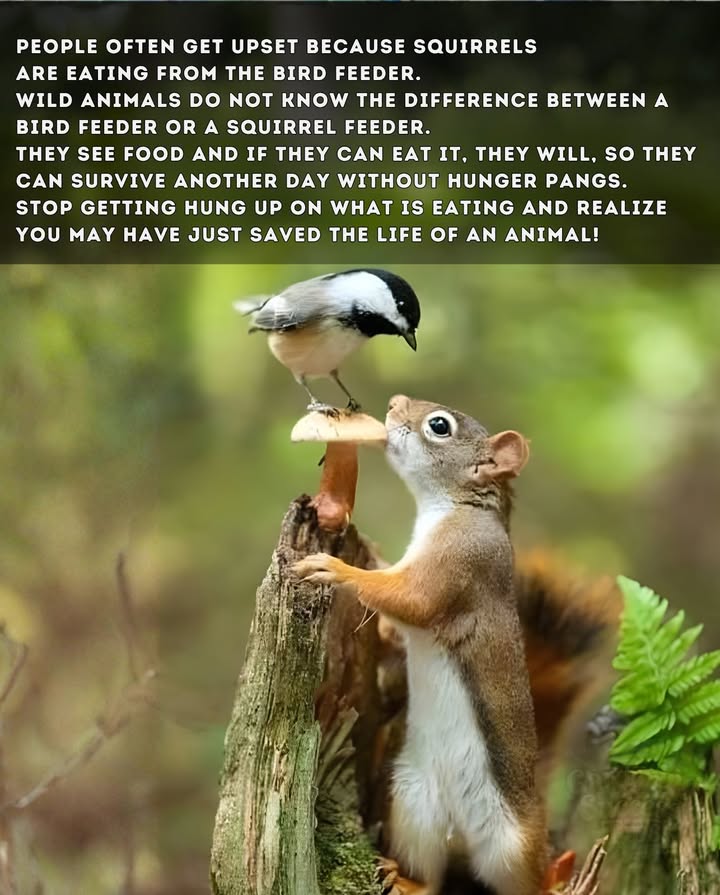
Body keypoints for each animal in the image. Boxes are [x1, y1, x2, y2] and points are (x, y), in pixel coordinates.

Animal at [295, 395, 619, 895]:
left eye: (439, 426)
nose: (394, 404)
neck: (454, 507)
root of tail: (462, 836)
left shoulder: (461, 563)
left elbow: (410, 601)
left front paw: (336, 569)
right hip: (412, 807)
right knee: (431, 877)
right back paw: (404, 880)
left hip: (513, 848)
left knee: (523, 883)